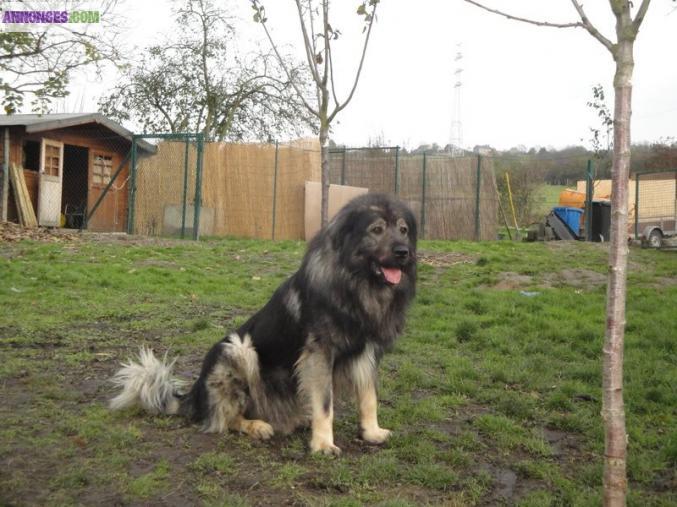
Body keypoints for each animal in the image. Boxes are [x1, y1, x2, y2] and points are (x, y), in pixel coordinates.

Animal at [110, 192, 414, 454]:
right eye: (376, 230)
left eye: (403, 230)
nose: (404, 252)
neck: (357, 284)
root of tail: (194, 396)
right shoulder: (319, 354)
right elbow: (325, 404)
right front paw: (323, 444)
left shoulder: (367, 352)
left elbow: (369, 397)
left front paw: (372, 432)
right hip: (238, 349)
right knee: (224, 419)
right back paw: (257, 425)